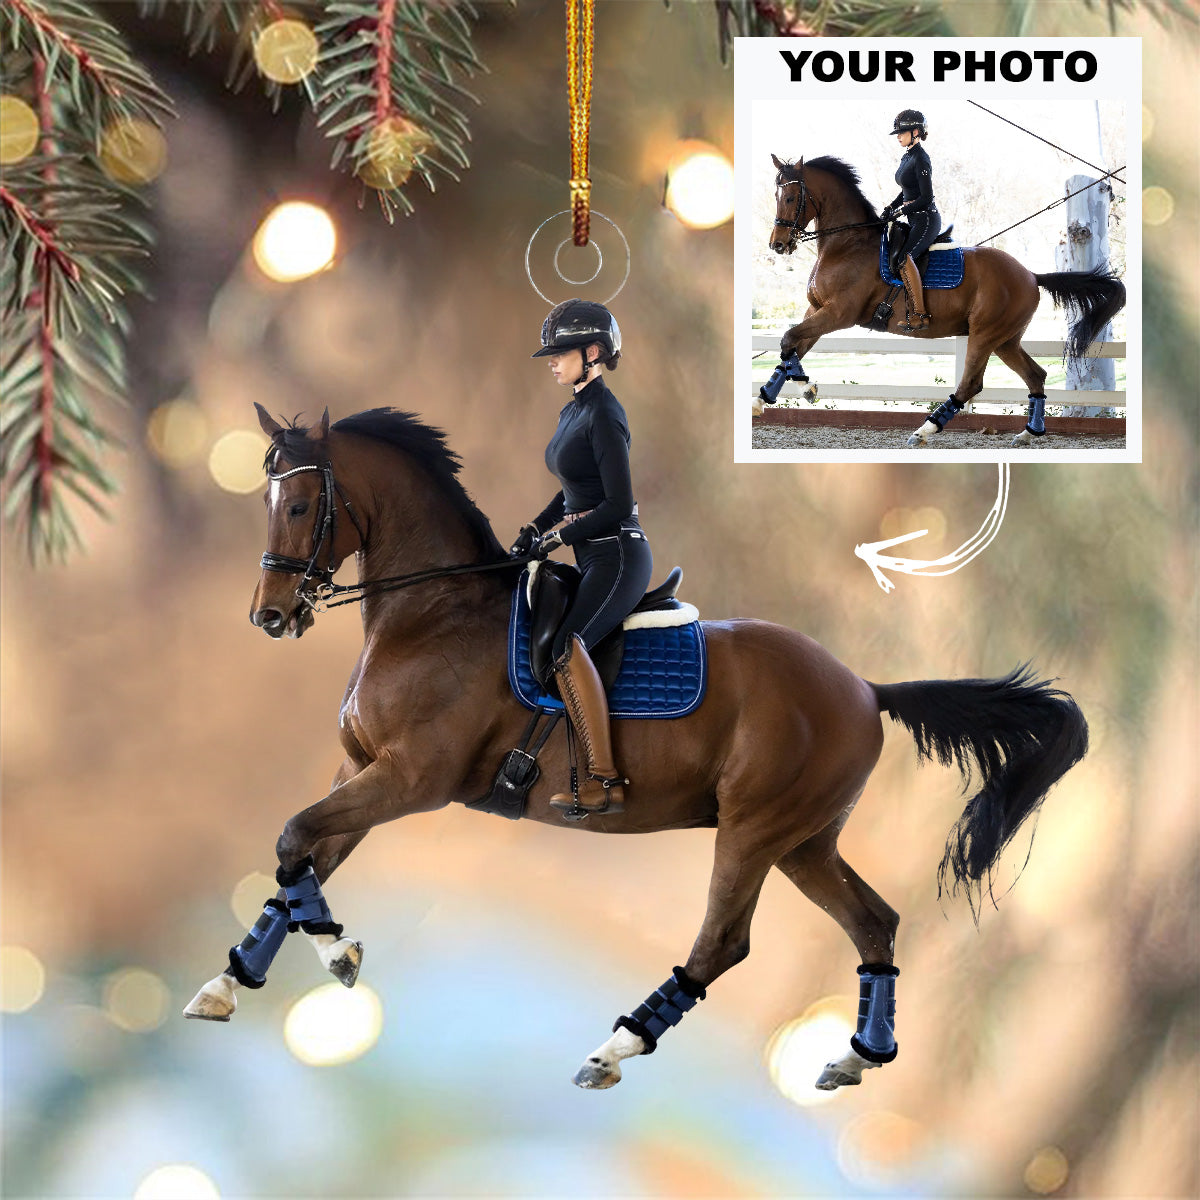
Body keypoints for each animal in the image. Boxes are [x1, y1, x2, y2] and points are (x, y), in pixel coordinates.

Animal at [183, 403, 1089, 1092]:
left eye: (302, 506)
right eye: (268, 499)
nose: (271, 615)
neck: (430, 613)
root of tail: (867, 689)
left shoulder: (411, 779)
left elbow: (295, 838)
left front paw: (337, 951)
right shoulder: (361, 769)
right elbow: (298, 861)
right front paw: (229, 982)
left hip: (754, 830)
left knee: (724, 943)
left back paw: (614, 1049)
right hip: (803, 843)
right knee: (874, 924)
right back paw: (857, 1057)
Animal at [763, 155, 1126, 448]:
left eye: (791, 197)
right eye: (776, 195)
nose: (778, 244)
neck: (847, 244)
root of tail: (1031, 275)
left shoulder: (840, 312)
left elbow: (789, 338)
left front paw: (801, 388)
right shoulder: (816, 309)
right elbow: (792, 345)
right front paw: (775, 393)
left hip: (984, 334)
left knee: (970, 384)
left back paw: (924, 430)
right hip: (1005, 340)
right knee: (1035, 375)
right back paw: (1028, 433)